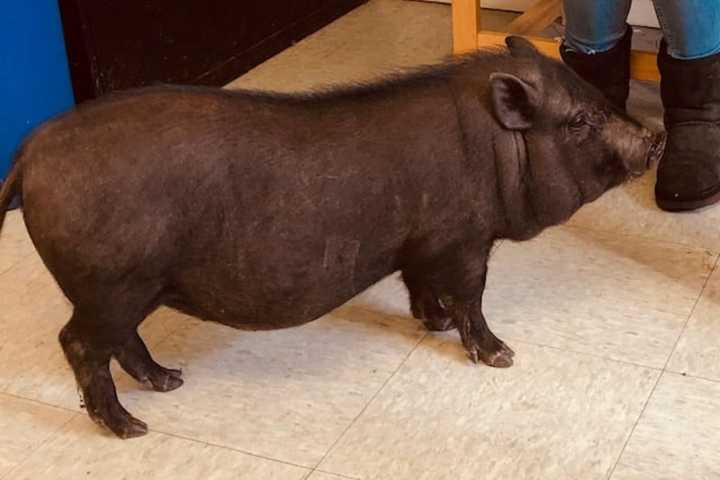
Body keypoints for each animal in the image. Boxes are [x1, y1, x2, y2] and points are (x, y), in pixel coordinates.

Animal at [0, 38, 664, 438]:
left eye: (595, 97)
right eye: (579, 121)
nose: (653, 138)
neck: (495, 146)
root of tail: (28, 157)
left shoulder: (419, 241)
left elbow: (418, 284)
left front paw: (432, 324)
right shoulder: (464, 241)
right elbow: (471, 296)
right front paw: (501, 356)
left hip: (126, 289)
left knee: (122, 340)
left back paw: (170, 381)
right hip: (110, 283)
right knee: (79, 343)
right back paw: (132, 427)